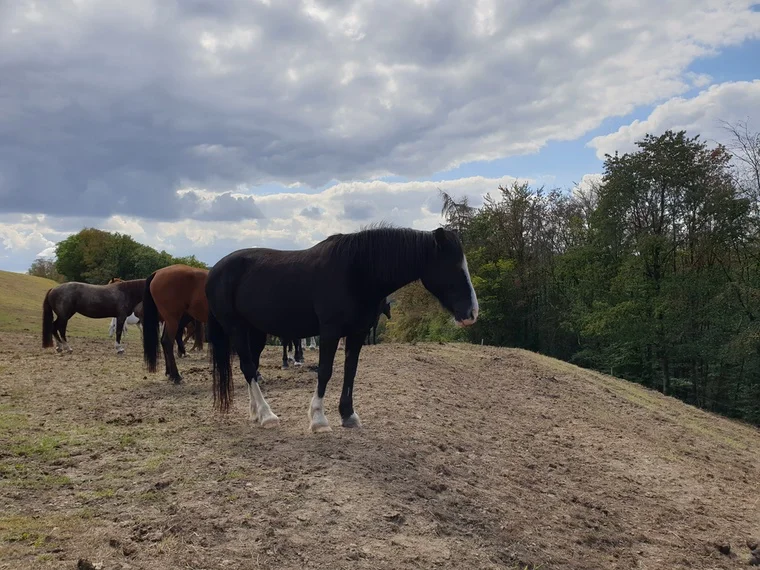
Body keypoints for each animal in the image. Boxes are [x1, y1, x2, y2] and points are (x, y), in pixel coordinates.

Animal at [205, 225, 478, 432]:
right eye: (453, 267)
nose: (472, 313)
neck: (356, 271)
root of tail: (215, 270)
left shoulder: (356, 333)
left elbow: (351, 371)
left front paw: (348, 415)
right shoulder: (330, 331)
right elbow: (325, 371)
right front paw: (318, 419)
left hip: (255, 331)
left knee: (249, 366)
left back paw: (256, 412)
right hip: (236, 328)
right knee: (248, 367)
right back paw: (267, 415)